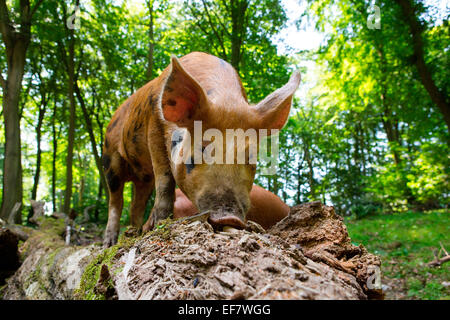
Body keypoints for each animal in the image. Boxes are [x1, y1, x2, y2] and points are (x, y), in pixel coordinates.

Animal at [101, 52, 298, 248]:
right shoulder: (154, 125)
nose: (230, 218)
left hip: (144, 179)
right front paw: (160, 223)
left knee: (136, 204)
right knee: (115, 201)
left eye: (250, 158)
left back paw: (134, 234)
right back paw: (110, 243)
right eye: (201, 150)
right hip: (110, 158)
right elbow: (164, 179)